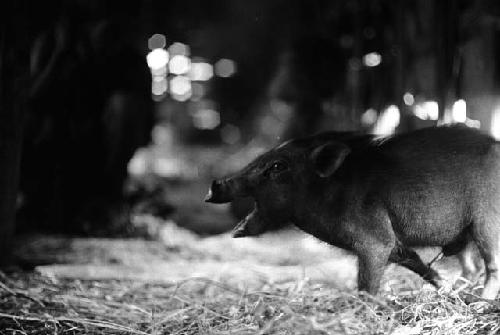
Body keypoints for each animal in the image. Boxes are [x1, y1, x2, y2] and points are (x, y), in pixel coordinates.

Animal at [205, 126, 500, 300]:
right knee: (471, 267)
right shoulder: (394, 243)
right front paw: (445, 289)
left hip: (487, 222)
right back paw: (462, 292)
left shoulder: (374, 241)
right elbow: (417, 262)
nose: (215, 184)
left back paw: (481, 302)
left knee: (492, 265)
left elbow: (367, 282)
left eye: (277, 166)